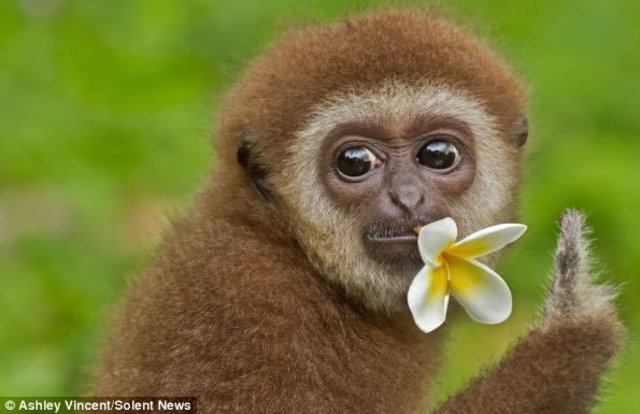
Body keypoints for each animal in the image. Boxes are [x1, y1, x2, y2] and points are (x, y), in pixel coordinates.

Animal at [93, 9, 623, 413]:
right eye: (355, 162)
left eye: (438, 155)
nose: (407, 197)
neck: (293, 251)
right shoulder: (239, 314)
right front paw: (576, 336)